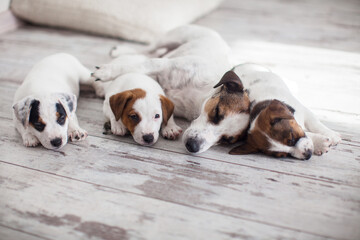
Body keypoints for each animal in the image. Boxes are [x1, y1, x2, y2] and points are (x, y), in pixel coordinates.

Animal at [91, 24, 250, 152]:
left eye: (226, 139)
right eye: (217, 112)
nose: (193, 146)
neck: (198, 97)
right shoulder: (165, 65)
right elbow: (140, 66)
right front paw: (105, 73)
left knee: (148, 52)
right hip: (171, 38)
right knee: (147, 49)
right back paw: (119, 51)